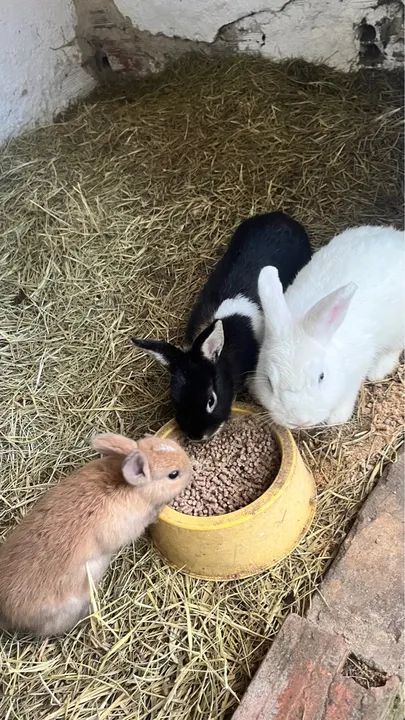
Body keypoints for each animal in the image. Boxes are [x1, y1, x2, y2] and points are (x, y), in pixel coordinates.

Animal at [252, 225, 405, 429]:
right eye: (269, 382)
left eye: (321, 376)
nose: (300, 421)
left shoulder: (358, 368)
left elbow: (348, 394)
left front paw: (336, 418)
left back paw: (377, 371)